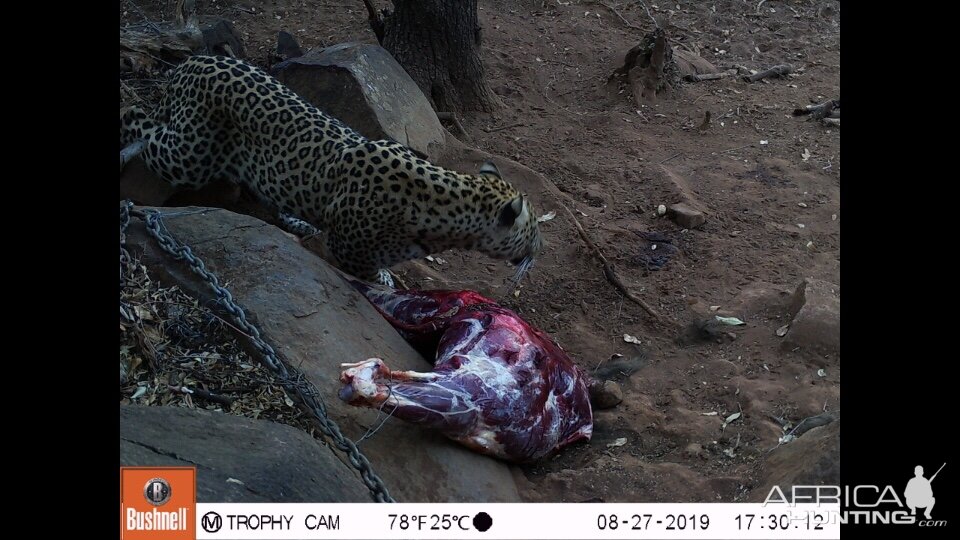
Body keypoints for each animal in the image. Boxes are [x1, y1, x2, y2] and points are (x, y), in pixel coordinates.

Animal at [119, 56, 540, 284]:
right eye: (533, 232)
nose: (539, 251)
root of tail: (193, 62)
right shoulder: (348, 248)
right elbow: (368, 271)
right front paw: (384, 278)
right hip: (188, 155)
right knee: (138, 117)